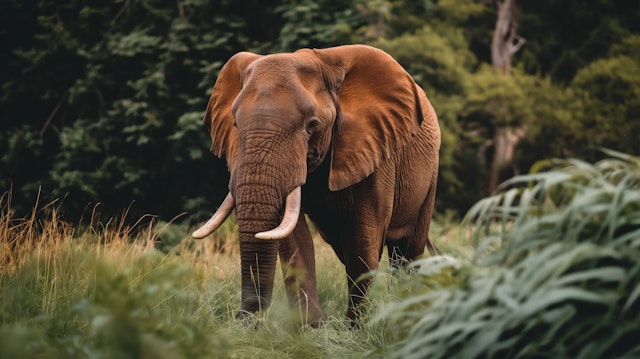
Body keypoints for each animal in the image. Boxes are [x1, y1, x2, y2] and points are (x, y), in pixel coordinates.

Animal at [190, 43, 440, 324]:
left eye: (311, 125)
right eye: (235, 123)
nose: (244, 319)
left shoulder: (376, 146)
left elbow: (364, 233)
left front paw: (357, 326)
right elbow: (293, 238)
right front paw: (312, 327)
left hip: (430, 172)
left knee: (407, 250)